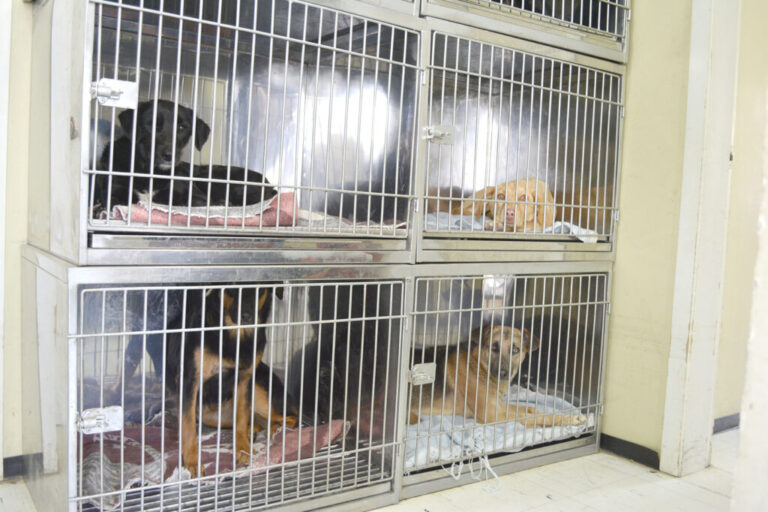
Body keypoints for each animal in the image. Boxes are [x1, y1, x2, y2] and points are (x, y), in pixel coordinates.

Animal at [164, 284, 297, 477]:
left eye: (261, 289)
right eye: (232, 288)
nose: (246, 316)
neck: (235, 334)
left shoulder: (245, 380)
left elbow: (241, 417)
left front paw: (243, 450)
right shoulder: (190, 382)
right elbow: (188, 428)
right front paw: (192, 463)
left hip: (260, 394)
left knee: (291, 417)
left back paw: (274, 431)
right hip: (209, 415)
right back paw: (255, 430)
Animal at [408, 324, 587, 427]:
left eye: (515, 350)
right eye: (493, 348)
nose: (503, 373)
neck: (479, 367)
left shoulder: (498, 406)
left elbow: (529, 409)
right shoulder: (493, 413)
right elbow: (533, 417)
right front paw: (567, 419)